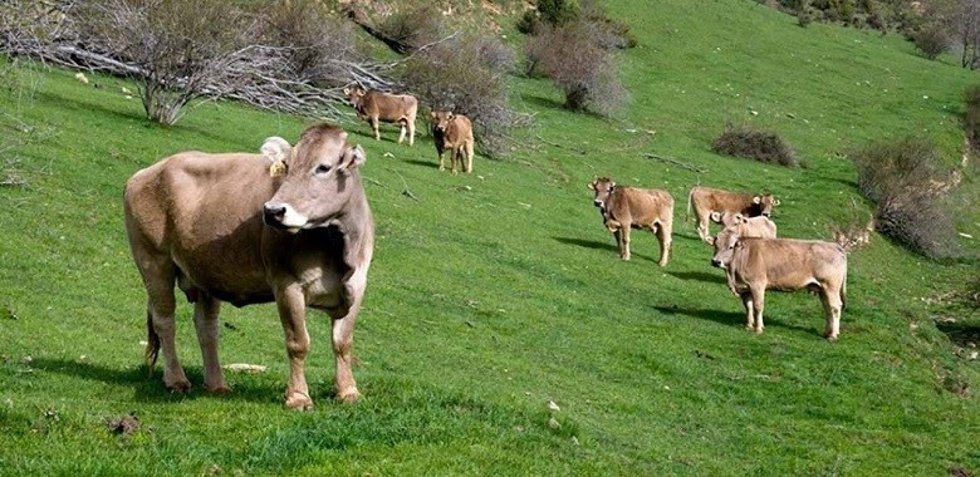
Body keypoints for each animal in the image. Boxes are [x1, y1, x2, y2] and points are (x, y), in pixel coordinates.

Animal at [123, 123, 374, 410]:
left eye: (323, 167)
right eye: (286, 166)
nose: (273, 211)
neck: (338, 247)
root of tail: (148, 171)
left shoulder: (358, 284)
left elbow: (343, 342)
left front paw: (348, 391)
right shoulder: (287, 284)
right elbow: (298, 342)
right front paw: (298, 396)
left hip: (206, 272)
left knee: (207, 328)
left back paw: (217, 384)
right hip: (154, 261)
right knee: (165, 321)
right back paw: (176, 379)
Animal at [710, 226, 847, 340]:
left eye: (731, 246)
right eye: (716, 245)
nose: (716, 261)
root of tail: (834, 245)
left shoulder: (757, 285)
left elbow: (758, 306)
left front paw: (758, 328)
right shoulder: (745, 287)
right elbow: (748, 306)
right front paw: (748, 325)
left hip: (831, 286)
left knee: (835, 307)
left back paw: (833, 335)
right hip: (822, 289)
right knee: (827, 308)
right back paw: (827, 332)